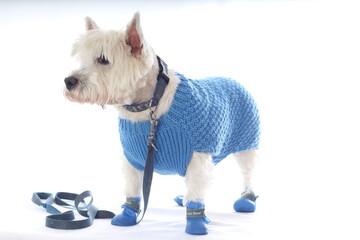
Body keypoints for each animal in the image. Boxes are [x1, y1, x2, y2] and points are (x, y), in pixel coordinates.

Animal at [64, 12, 260, 235]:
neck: (149, 105)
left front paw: (196, 224)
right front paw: (127, 215)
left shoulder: (198, 157)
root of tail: (235, 81)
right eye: (82, 58)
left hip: (246, 144)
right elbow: (133, 188)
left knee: (247, 174)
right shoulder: (133, 158)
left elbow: (196, 193)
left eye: (103, 60)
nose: (68, 81)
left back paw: (247, 199)